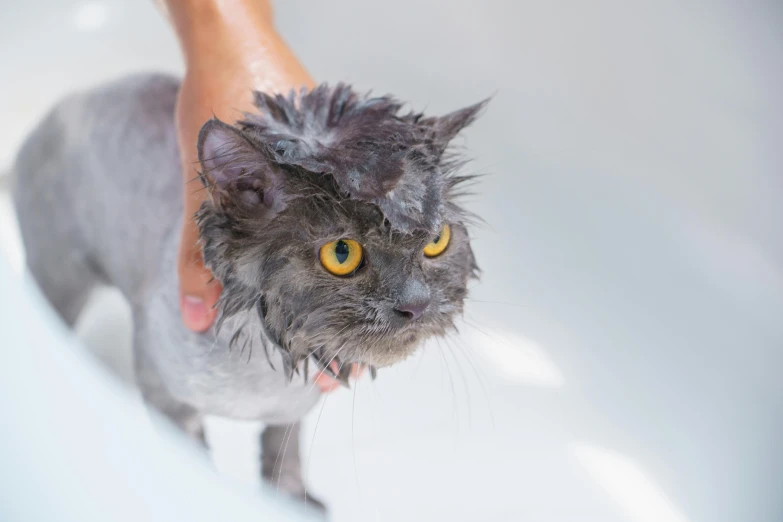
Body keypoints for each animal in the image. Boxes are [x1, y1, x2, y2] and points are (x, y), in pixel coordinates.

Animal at [10, 73, 484, 508]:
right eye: (342, 253)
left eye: (436, 239)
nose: (416, 304)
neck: (262, 375)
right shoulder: (162, 388)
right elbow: (195, 458)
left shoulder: (292, 412)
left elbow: (283, 454)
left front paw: (291, 500)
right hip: (60, 277)